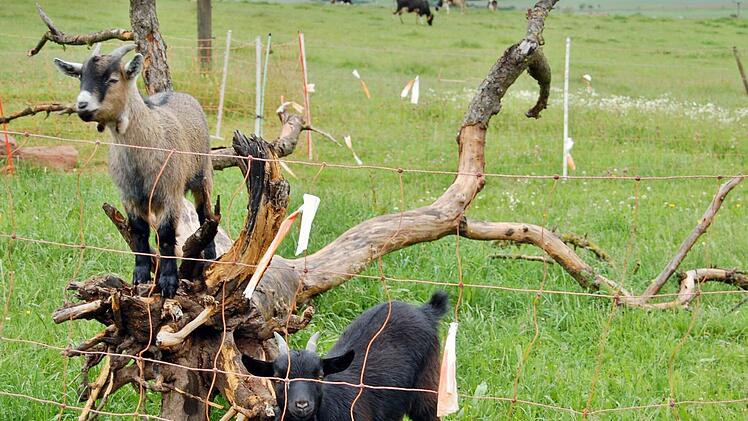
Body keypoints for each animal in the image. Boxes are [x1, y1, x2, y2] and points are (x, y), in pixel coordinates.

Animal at [54, 44, 215, 298]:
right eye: (80, 77)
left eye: (112, 79)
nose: (82, 106)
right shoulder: (129, 196)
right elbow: (139, 233)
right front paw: (140, 276)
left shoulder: (169, 192)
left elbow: (166, 235)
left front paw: (168, 282)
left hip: (204, 174)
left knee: (205, 215)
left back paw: (210, 257)